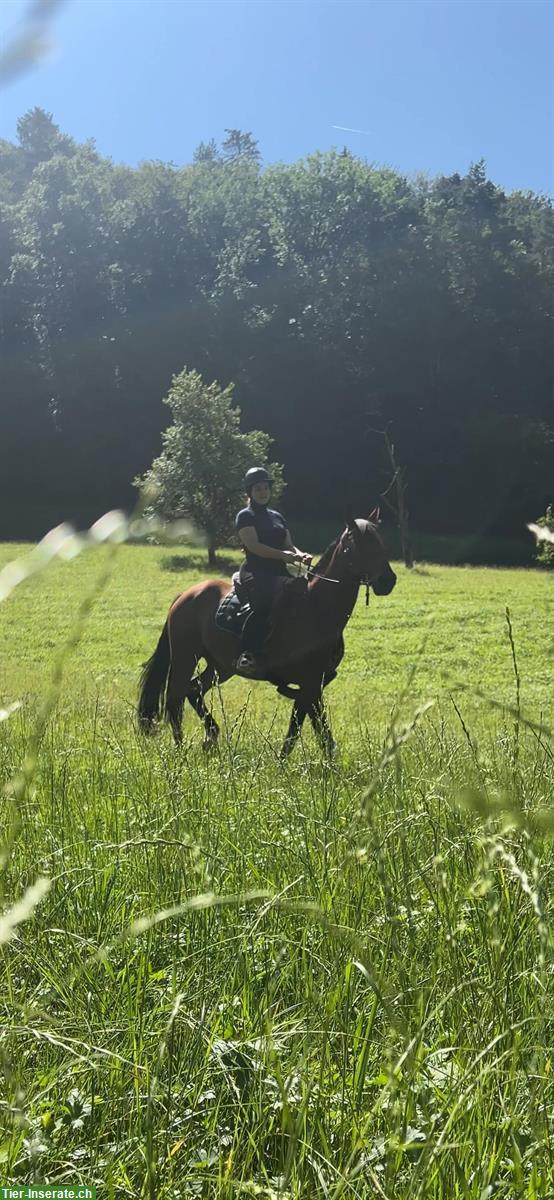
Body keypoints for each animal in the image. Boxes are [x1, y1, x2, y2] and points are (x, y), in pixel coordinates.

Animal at [139, 516, 398, 758]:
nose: (388, 581)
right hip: (185, 658)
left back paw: (211, 737)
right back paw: (181, 750)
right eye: (359, 545)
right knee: (175, 698)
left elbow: (306, 727)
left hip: (220, 666)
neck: (317, 607)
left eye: (380, 542)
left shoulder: (313, 683)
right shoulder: (310, 682)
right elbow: (309, 730)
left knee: (193, 691)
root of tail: (186, 594)